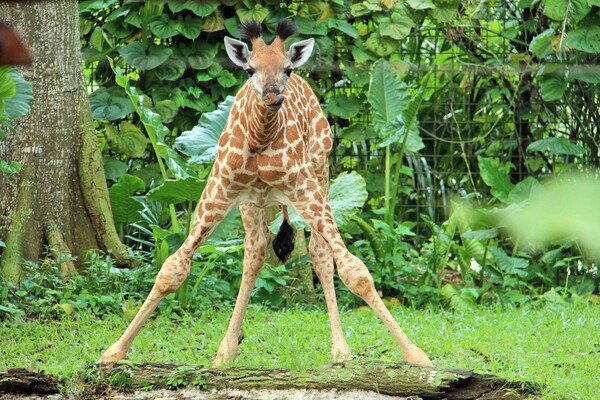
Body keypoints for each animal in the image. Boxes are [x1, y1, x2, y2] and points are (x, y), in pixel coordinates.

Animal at [101, 20, 434, 368]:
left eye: (286, 69)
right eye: (250, 69)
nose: (273, 95)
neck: (259, 139)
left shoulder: (305, 189)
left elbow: (356, 271)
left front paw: (415, 355)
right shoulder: (216, 194)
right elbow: (171, 269)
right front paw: (114, 351)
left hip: (321, 175)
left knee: (318, 252)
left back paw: (339, 349)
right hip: (252, 203)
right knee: (256, 251)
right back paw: (226, 350)